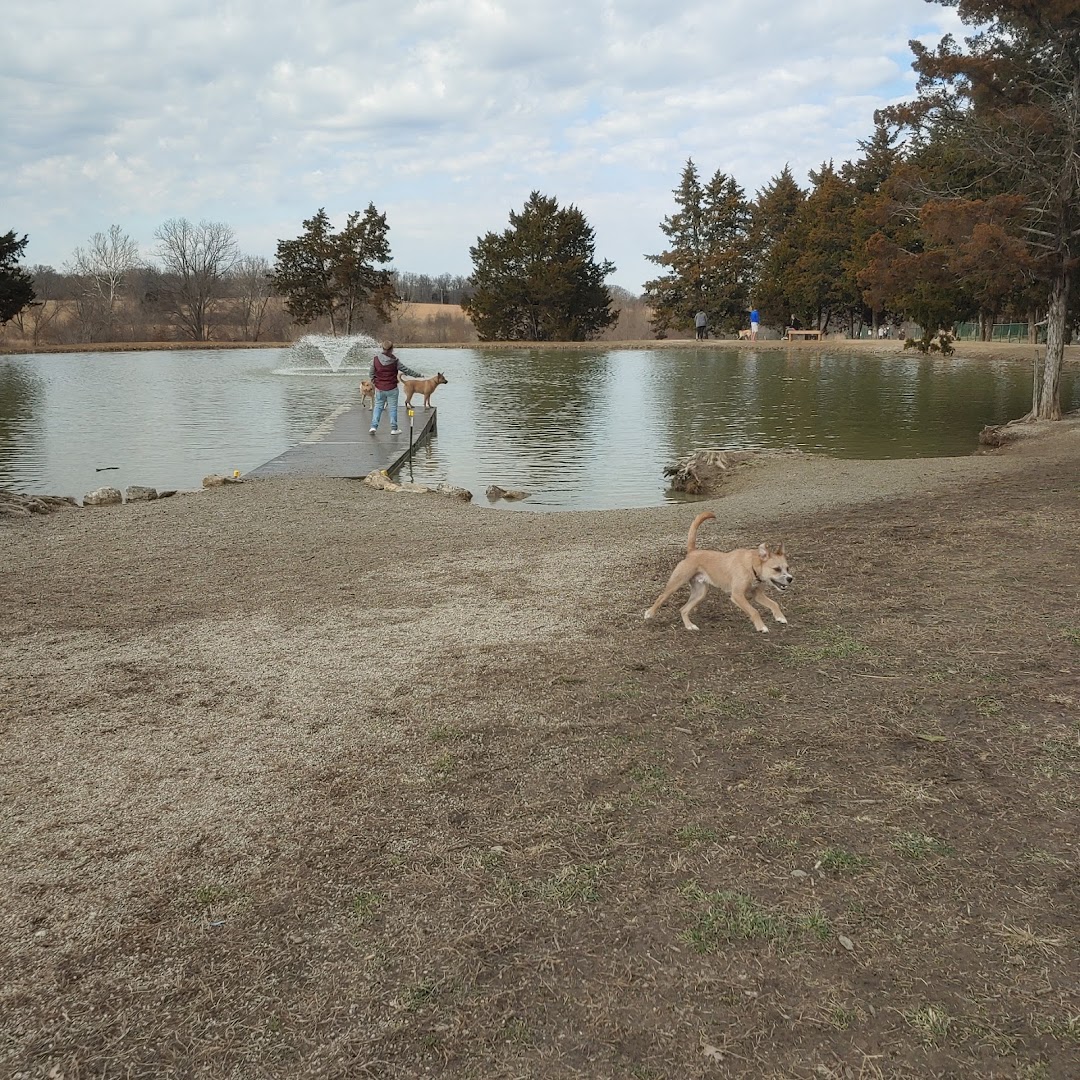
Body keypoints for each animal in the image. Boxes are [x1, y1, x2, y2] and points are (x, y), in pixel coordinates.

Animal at [639, 511, 794, 630]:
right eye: (776, 569)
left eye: (787, 568)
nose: (790, 578)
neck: (751, 566)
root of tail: (692, 552)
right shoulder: (737, 595)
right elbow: (754, 611)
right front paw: (761, 627)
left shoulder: (757, 595)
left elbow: (774, 603)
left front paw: (780, 617)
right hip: (676, 583)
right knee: (661, 597)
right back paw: (650, 613)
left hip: (700, 593)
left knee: (683, 609)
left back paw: (689, 626)